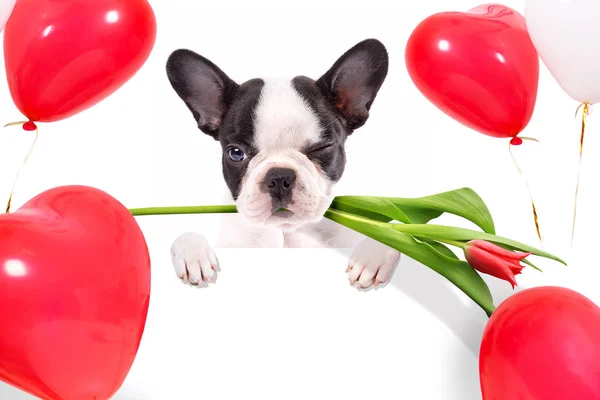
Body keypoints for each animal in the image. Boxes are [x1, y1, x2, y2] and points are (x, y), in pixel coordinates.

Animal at [166, 39, 400, 290]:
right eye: (236, 154)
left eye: (322, 147)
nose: (279, 177)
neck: (285, 234)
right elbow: (185, 235)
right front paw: (193, 254)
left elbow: (389, 234)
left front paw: (371, 255)